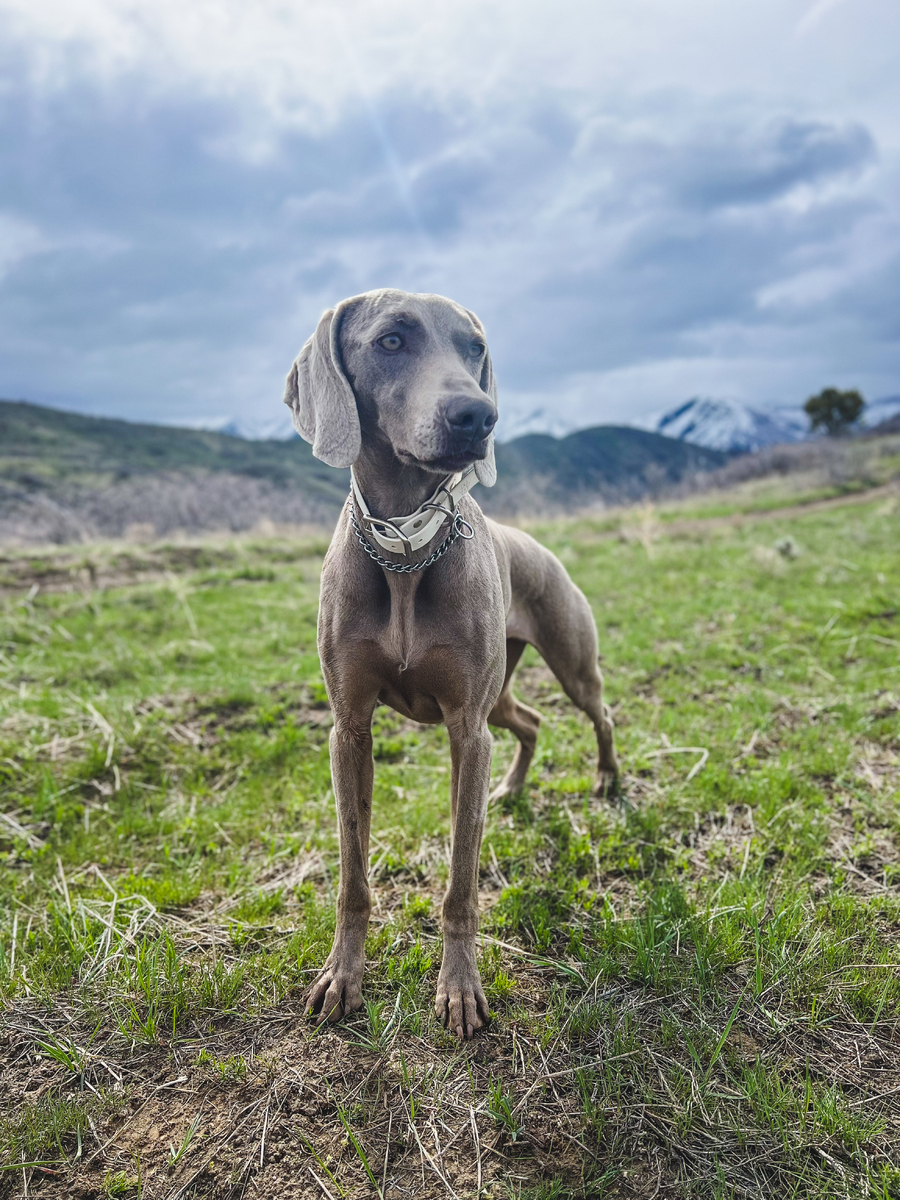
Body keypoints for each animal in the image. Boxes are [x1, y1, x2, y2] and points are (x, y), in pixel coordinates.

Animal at [283, 290, 619, 1041]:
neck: (407, 551)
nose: (478, 415)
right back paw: (514, 790)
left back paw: (609, 780)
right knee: (530, 723)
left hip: (567, 661)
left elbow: (462, 881)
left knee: (599, 712)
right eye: (392, 340)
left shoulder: (465, 727)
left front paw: (460, 990)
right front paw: (342, 978)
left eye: (474, 348)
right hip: (501, 694)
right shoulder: (350, 729)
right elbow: (353, 876)